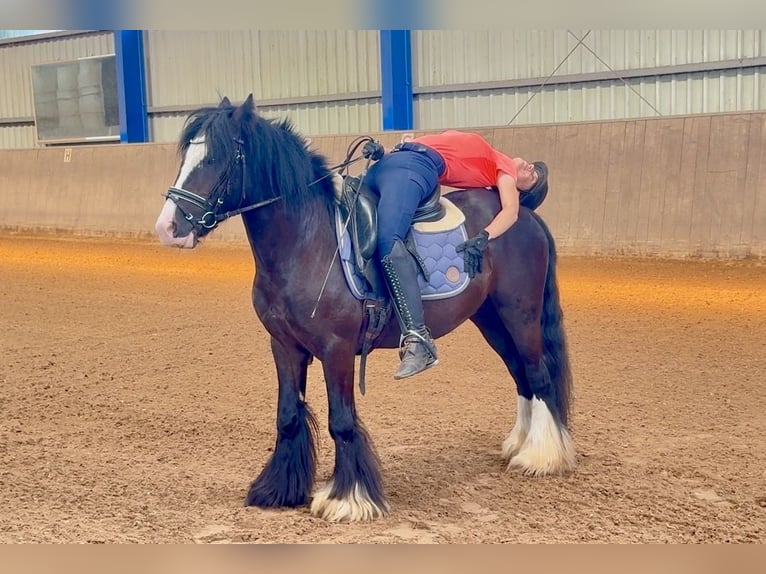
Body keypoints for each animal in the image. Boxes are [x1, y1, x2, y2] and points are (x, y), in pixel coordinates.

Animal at [154, 94, 575, 522]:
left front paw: (347, 499)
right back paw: (519, 445)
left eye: (215, 158)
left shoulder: (336, 349)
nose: (168, 228)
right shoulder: (284, 346)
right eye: (187, 155)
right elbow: (287, 416)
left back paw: (540, 457)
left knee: (538, 374)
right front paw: (278, 488)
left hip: (520, 314)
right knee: (520, 374)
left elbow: (341, 420)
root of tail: (526, 214)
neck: (307, 242)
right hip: (490, 319)